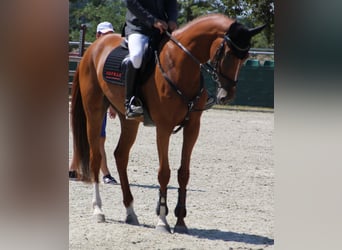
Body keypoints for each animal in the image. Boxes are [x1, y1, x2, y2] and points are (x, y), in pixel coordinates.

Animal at [71, 13, 264, 232]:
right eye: (229, 54)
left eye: (246, 58)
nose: (227, 95)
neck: (180, 64)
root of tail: (92, 49)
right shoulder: (163, 127)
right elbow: (164, 172)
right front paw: (162, 219)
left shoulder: (193, 128)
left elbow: (184, 173)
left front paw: (180, 221)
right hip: (94, 112)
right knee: (95, 156)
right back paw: (98, 210)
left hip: (129, 121)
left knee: (120, 155)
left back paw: (130, 212)